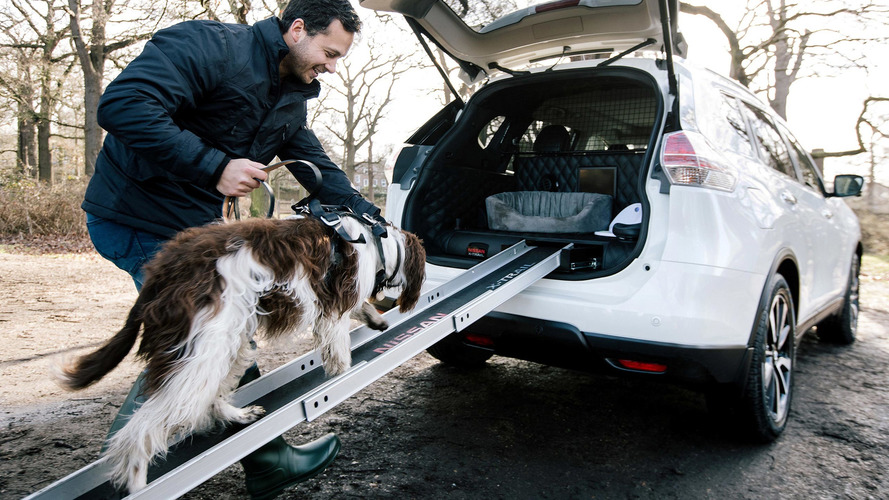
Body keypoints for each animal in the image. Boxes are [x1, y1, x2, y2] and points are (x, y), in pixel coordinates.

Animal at [53, 215, 424, 492]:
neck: (376, 241)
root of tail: (162, 270)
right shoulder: (333, 306)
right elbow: (339, 348)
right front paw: (344, 373)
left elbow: (357, 312)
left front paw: (375, 319)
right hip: (204, 346)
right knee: (143, 426)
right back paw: (137, 481)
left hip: (228, 338)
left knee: (206, 397)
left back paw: (238, 415)